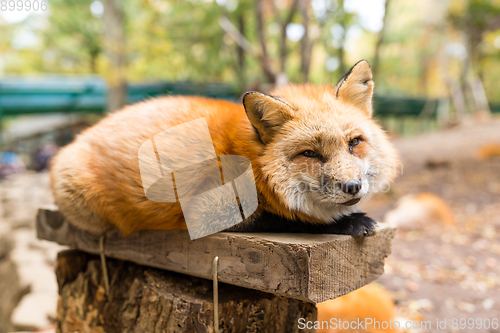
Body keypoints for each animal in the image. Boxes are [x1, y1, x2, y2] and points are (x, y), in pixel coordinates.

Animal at [49, 60, 398, 236]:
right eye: (309, 153)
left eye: (354, 143)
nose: (352, 186)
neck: (252, 163)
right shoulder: (205, 212)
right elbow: (293, 220)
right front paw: (347, 222)